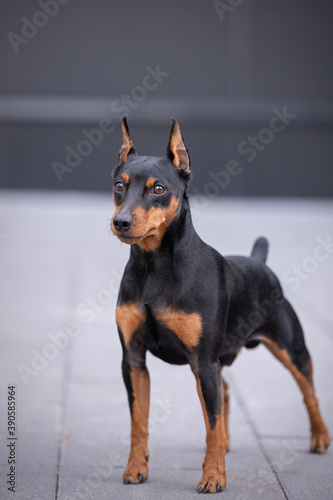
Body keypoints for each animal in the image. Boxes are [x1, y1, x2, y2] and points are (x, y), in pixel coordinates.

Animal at [110, 116, 328, 492]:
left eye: (158, 189)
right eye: (118, 186)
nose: (120, 222)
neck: (155, 268)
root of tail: (259, 260)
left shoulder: (203, 360)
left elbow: (210, 423)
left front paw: (213, 477)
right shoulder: (134, 361)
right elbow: (139, 420)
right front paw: (136, 468)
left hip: (289, 348)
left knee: (308, 392)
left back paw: (319, 438)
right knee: (225, 392)